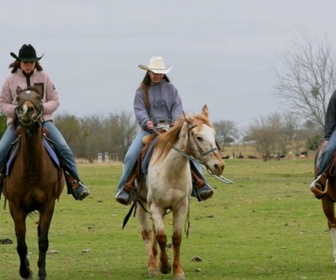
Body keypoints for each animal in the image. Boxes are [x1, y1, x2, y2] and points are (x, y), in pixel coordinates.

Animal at [2, 86, 64, 280]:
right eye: (18, 98)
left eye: (38, 97)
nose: (26, 111)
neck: (32, 170)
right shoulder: (16, 208)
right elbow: (21, 245)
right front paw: (25, 271)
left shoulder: (48, 205)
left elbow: (43, 241)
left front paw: (41, 272)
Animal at [135, 106, 226, 278]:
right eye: (199, 137)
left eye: (213, 134)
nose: (219, 165)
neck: (171, 172)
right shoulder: (155, 206)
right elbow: (161, 236)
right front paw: (164, 266)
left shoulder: (181, 206)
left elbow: (176, 238)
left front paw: (177, 270)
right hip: (141, 204)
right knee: (146, 233)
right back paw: (152, 265)